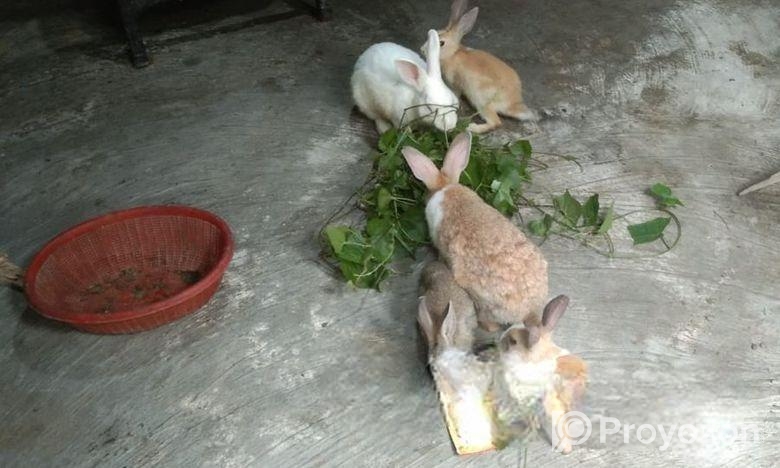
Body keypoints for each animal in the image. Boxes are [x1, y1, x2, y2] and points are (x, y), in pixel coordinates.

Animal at [421, 0, 536, 134]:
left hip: (481, 100)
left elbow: (456, 93)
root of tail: (513, 104)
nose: (422, 50)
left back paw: (472, 127)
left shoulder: (456, 83)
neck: (453, 54)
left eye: (441, 43)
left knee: (495, 122)